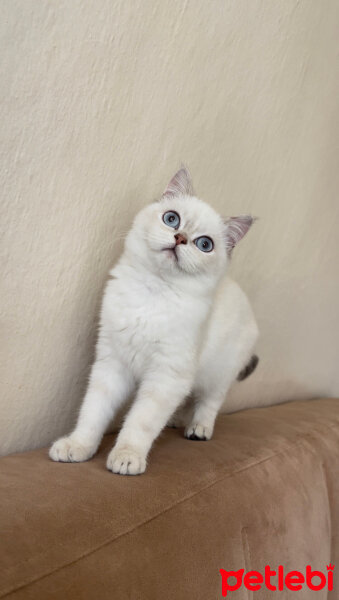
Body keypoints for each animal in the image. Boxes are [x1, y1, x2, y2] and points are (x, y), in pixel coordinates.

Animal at [49, 168, 258, 474]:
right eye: (172, 219)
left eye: (204, 244)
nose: (180, 238)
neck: (151, 293)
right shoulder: (112, 364)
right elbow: (93, 413)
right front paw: (78, 447)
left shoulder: (166, 376)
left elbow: (140, 422)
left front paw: (127, 457)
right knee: (186, 401)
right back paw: (175, 421)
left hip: (219, 373)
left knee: (208, 402)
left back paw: (198, 429)